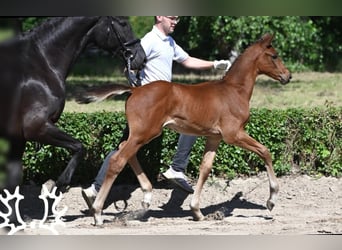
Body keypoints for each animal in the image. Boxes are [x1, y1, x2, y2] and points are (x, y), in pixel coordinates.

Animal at [0, 16, 146, 195]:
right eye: (123, 22)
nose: (141, 57)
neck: (41, 63)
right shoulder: (35, 127)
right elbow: (79, 147)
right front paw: (60, 183)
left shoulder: (18, 137)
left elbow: (12, 183)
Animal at [78, 33, 292, 225]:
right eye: (274, 56)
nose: (288, 76)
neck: (234, 90)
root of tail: (135, 90)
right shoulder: (233, 134)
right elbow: (265, 151)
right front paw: (271, 200)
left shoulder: (214, 137)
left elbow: (205, 168)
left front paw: (196, 211)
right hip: (145, 133)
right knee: (118, 159)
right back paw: (97, 213)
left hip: (142, 133)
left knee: (124, 150)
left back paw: (146, 196)